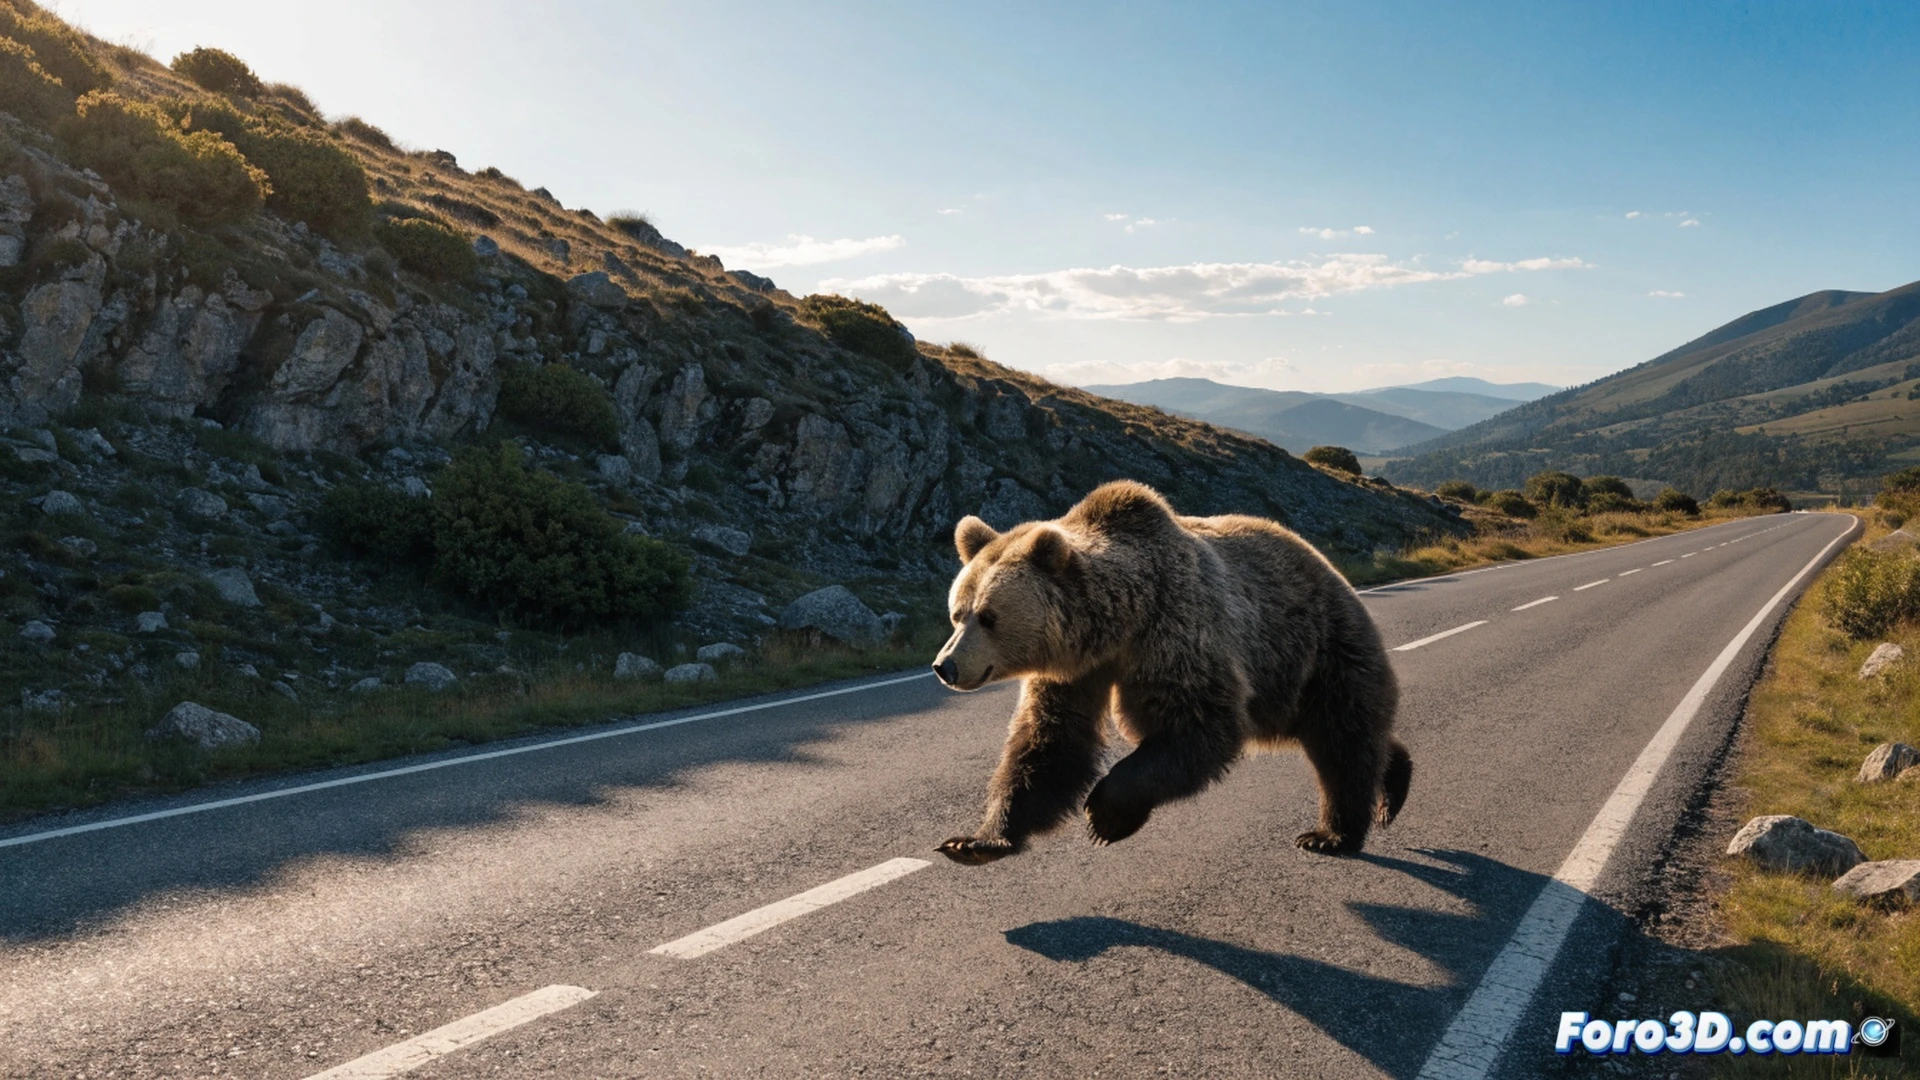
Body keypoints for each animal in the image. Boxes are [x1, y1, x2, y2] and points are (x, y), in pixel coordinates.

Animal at [931, 480, 1409, 863]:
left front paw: (1104, 814)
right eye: (957, 613)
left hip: (1318, 645)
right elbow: (1050, 743)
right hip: (1284, 680)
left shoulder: (1177, 628)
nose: (944, 666)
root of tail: (1327, 565)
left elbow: (1199, 725)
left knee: (1342, 737)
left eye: (988, 617)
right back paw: (1391, 779)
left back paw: (1333, 832)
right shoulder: (1074, 671)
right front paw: (975, 842)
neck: (1119, 625)